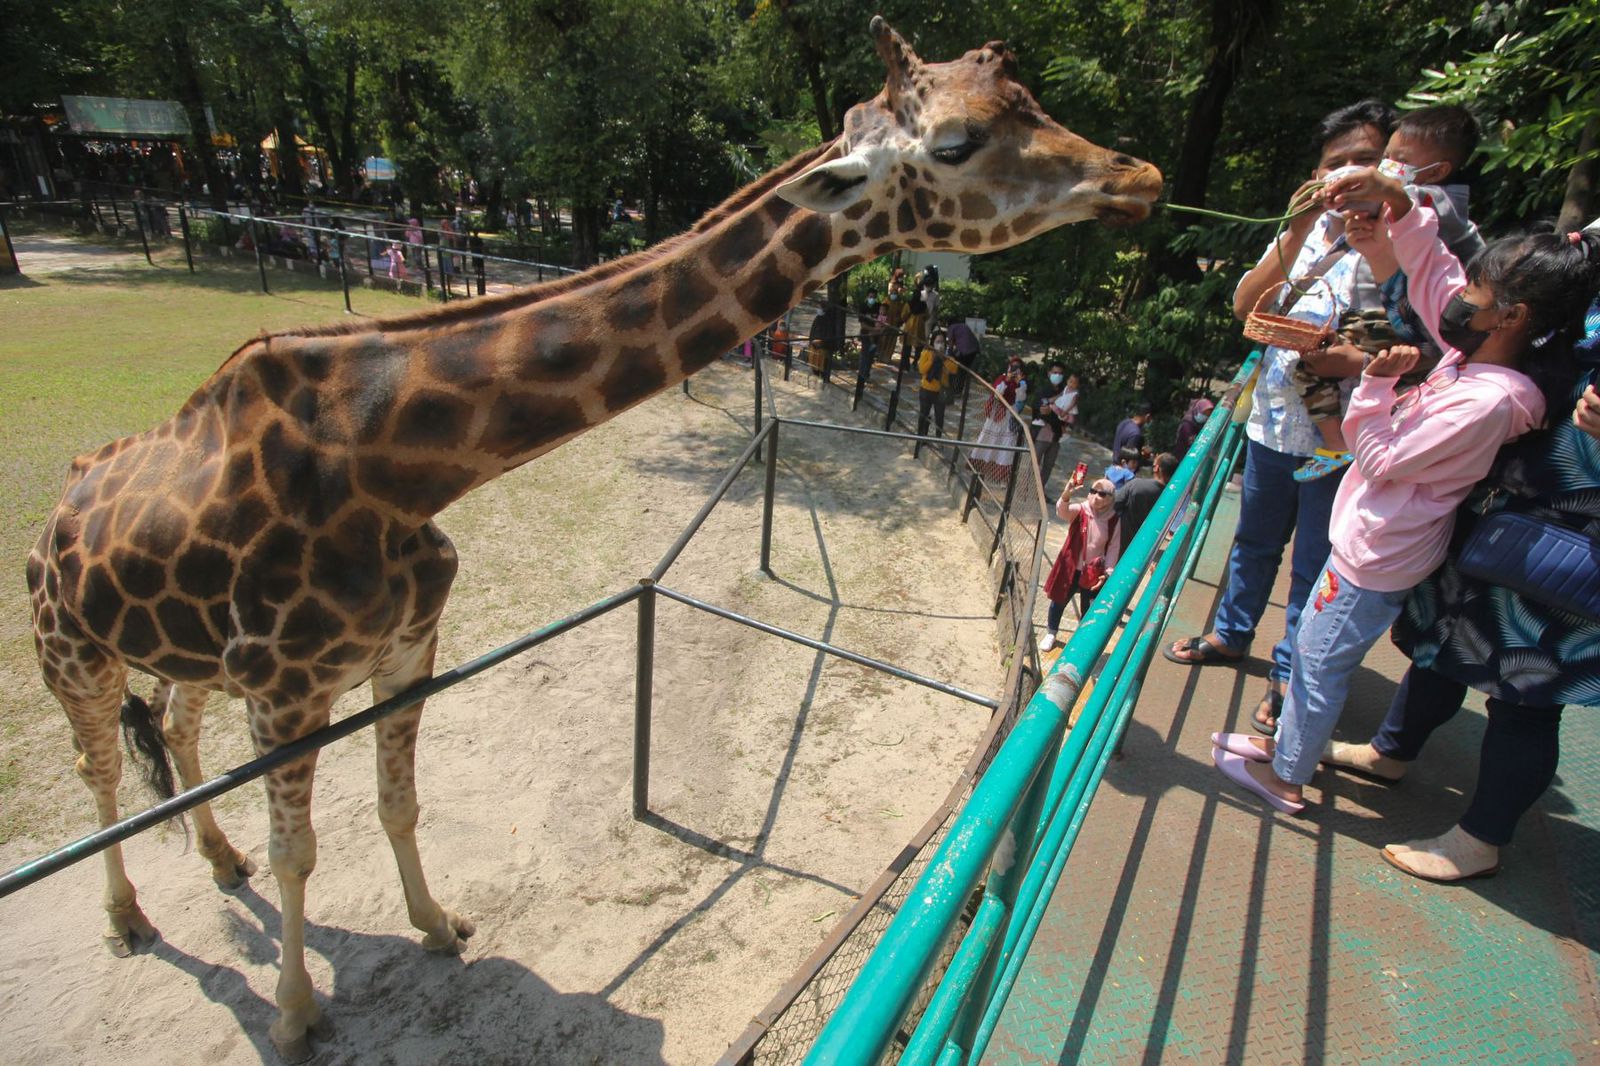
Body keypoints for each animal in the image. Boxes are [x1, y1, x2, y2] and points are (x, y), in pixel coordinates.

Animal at [25, 16, 1164, 1056]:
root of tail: (57, 512)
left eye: (1027, 101)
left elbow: (399, 805)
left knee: (175, 730)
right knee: (99, 767)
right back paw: (128, 917)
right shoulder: (287, 691)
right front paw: (299, 1012)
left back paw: (217, 862)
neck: (393, 465)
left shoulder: (405, 652)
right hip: (74, 654)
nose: (1140, 174)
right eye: (959, 141)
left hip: (185, 656)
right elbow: (301, 851)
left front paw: (436, 925)